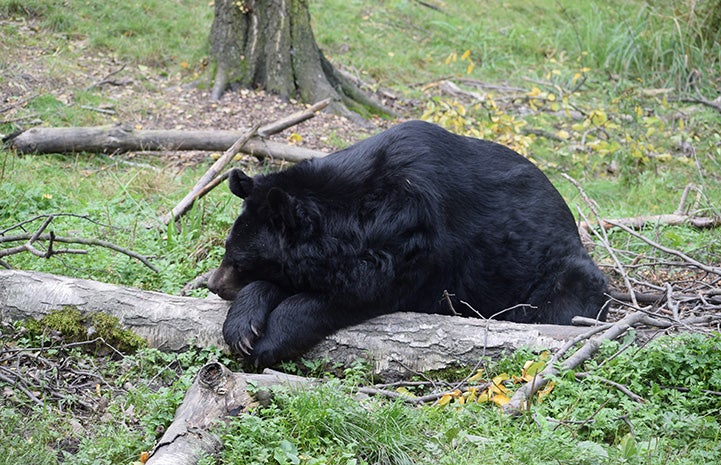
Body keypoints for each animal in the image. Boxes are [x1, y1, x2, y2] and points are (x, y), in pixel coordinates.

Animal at [208, 119, 608, 366]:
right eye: (229, 250)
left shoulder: (415, 242)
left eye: (239, 260)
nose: (213, 284)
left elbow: (348, 294)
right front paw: (242, 329)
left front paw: (266, 343)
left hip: (562, 276)